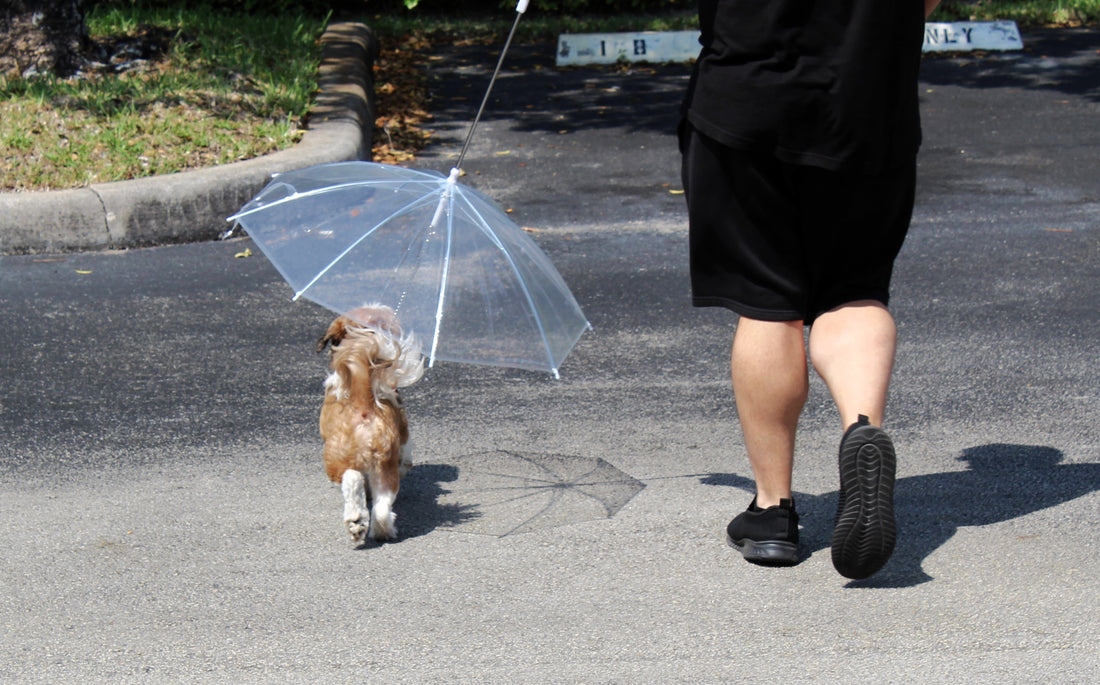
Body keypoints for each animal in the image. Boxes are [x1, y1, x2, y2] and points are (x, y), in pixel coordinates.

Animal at [319, 305, 424, 540]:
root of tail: (363, 402)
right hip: (384, 464)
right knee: (382, 504)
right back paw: (381, 529)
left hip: (336, 460)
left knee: (352, 478)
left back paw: (356, 520)